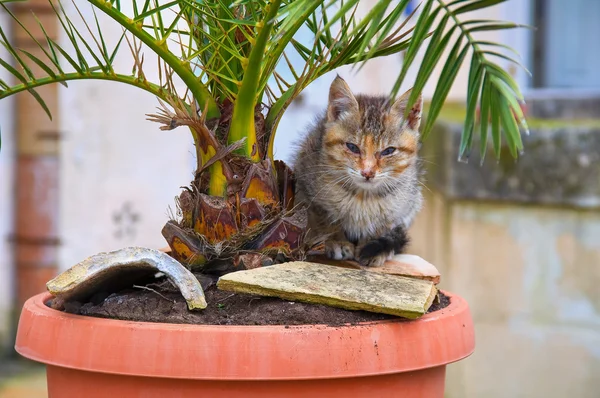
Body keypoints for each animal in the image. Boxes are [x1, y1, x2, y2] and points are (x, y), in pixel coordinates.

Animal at [292, 74, 422, 268]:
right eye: (352, 147)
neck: (363, 197)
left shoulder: (402, 207)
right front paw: (337, 241)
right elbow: (326, 221)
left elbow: (383, 226)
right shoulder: (308, 192)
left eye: (388, 151)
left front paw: (373, 246)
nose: (368, 172)